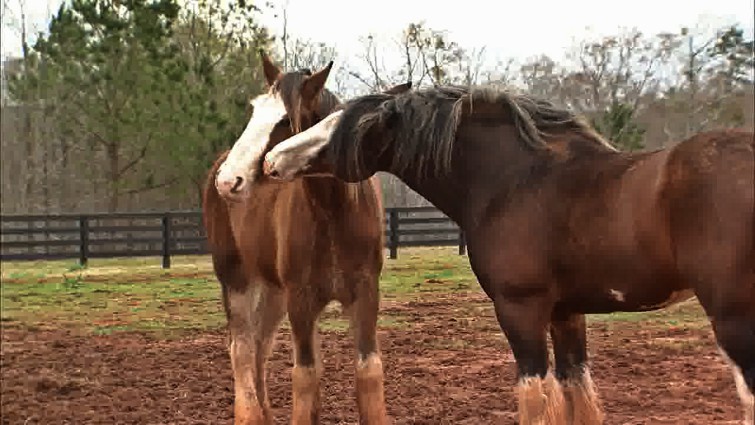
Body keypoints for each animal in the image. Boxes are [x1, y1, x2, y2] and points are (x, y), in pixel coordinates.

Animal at [203, 52, 406, 425]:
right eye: (254, 111)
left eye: (285, 120)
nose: (229, 181)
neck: (334, 214)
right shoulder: (301, 299)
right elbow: (305, 375)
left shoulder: (365, 293)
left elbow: (368, 370)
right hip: (236, 279)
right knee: (241, 348)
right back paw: (250, 415)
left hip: (272, 291)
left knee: (260, 347)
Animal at [261, 84, 755, 424]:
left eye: (345, 128)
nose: (271, 160)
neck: (514, 181)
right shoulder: (565, 314)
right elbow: (578, 394)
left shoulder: (521, 310)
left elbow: (535, 399)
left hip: (734, 322)